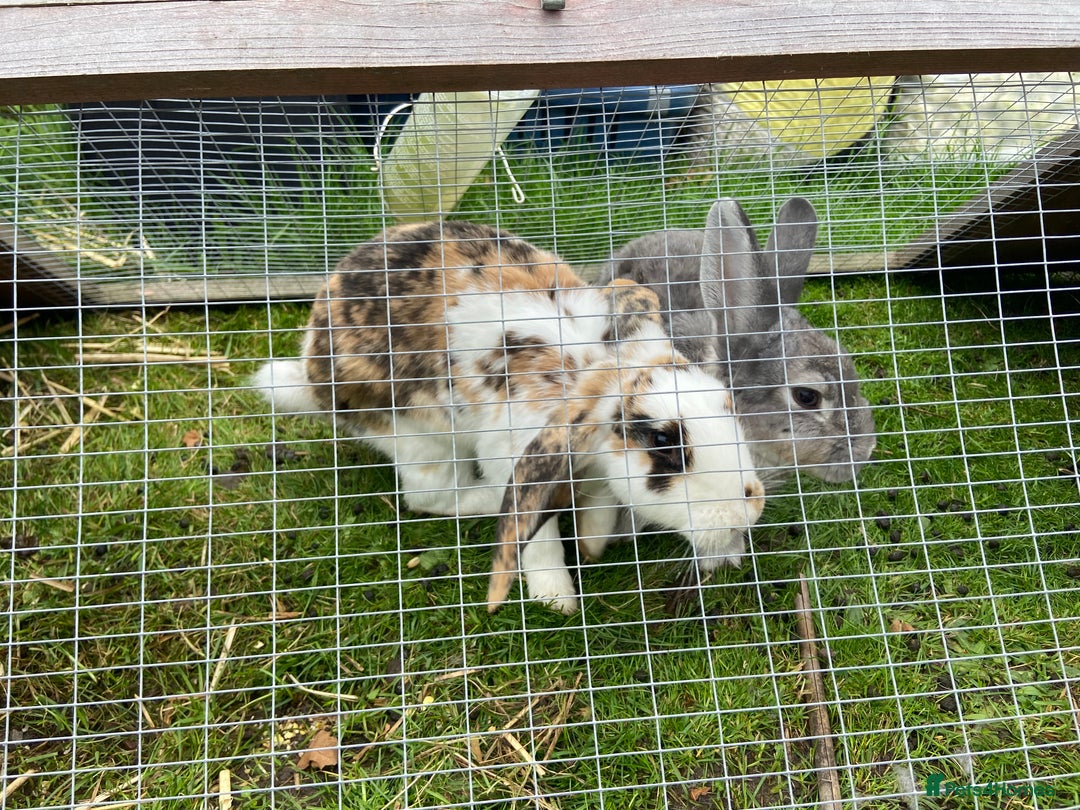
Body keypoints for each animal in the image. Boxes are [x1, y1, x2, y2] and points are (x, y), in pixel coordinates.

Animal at [254, 220, 765, 615]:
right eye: (663, 443)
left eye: (726, 405)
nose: (751, 507)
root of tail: (313, 376)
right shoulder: (515, 456)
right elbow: (538, 541)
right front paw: (557, 600)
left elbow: (599, 505)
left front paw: (592, 544)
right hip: (418, 438)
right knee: (431, 496)